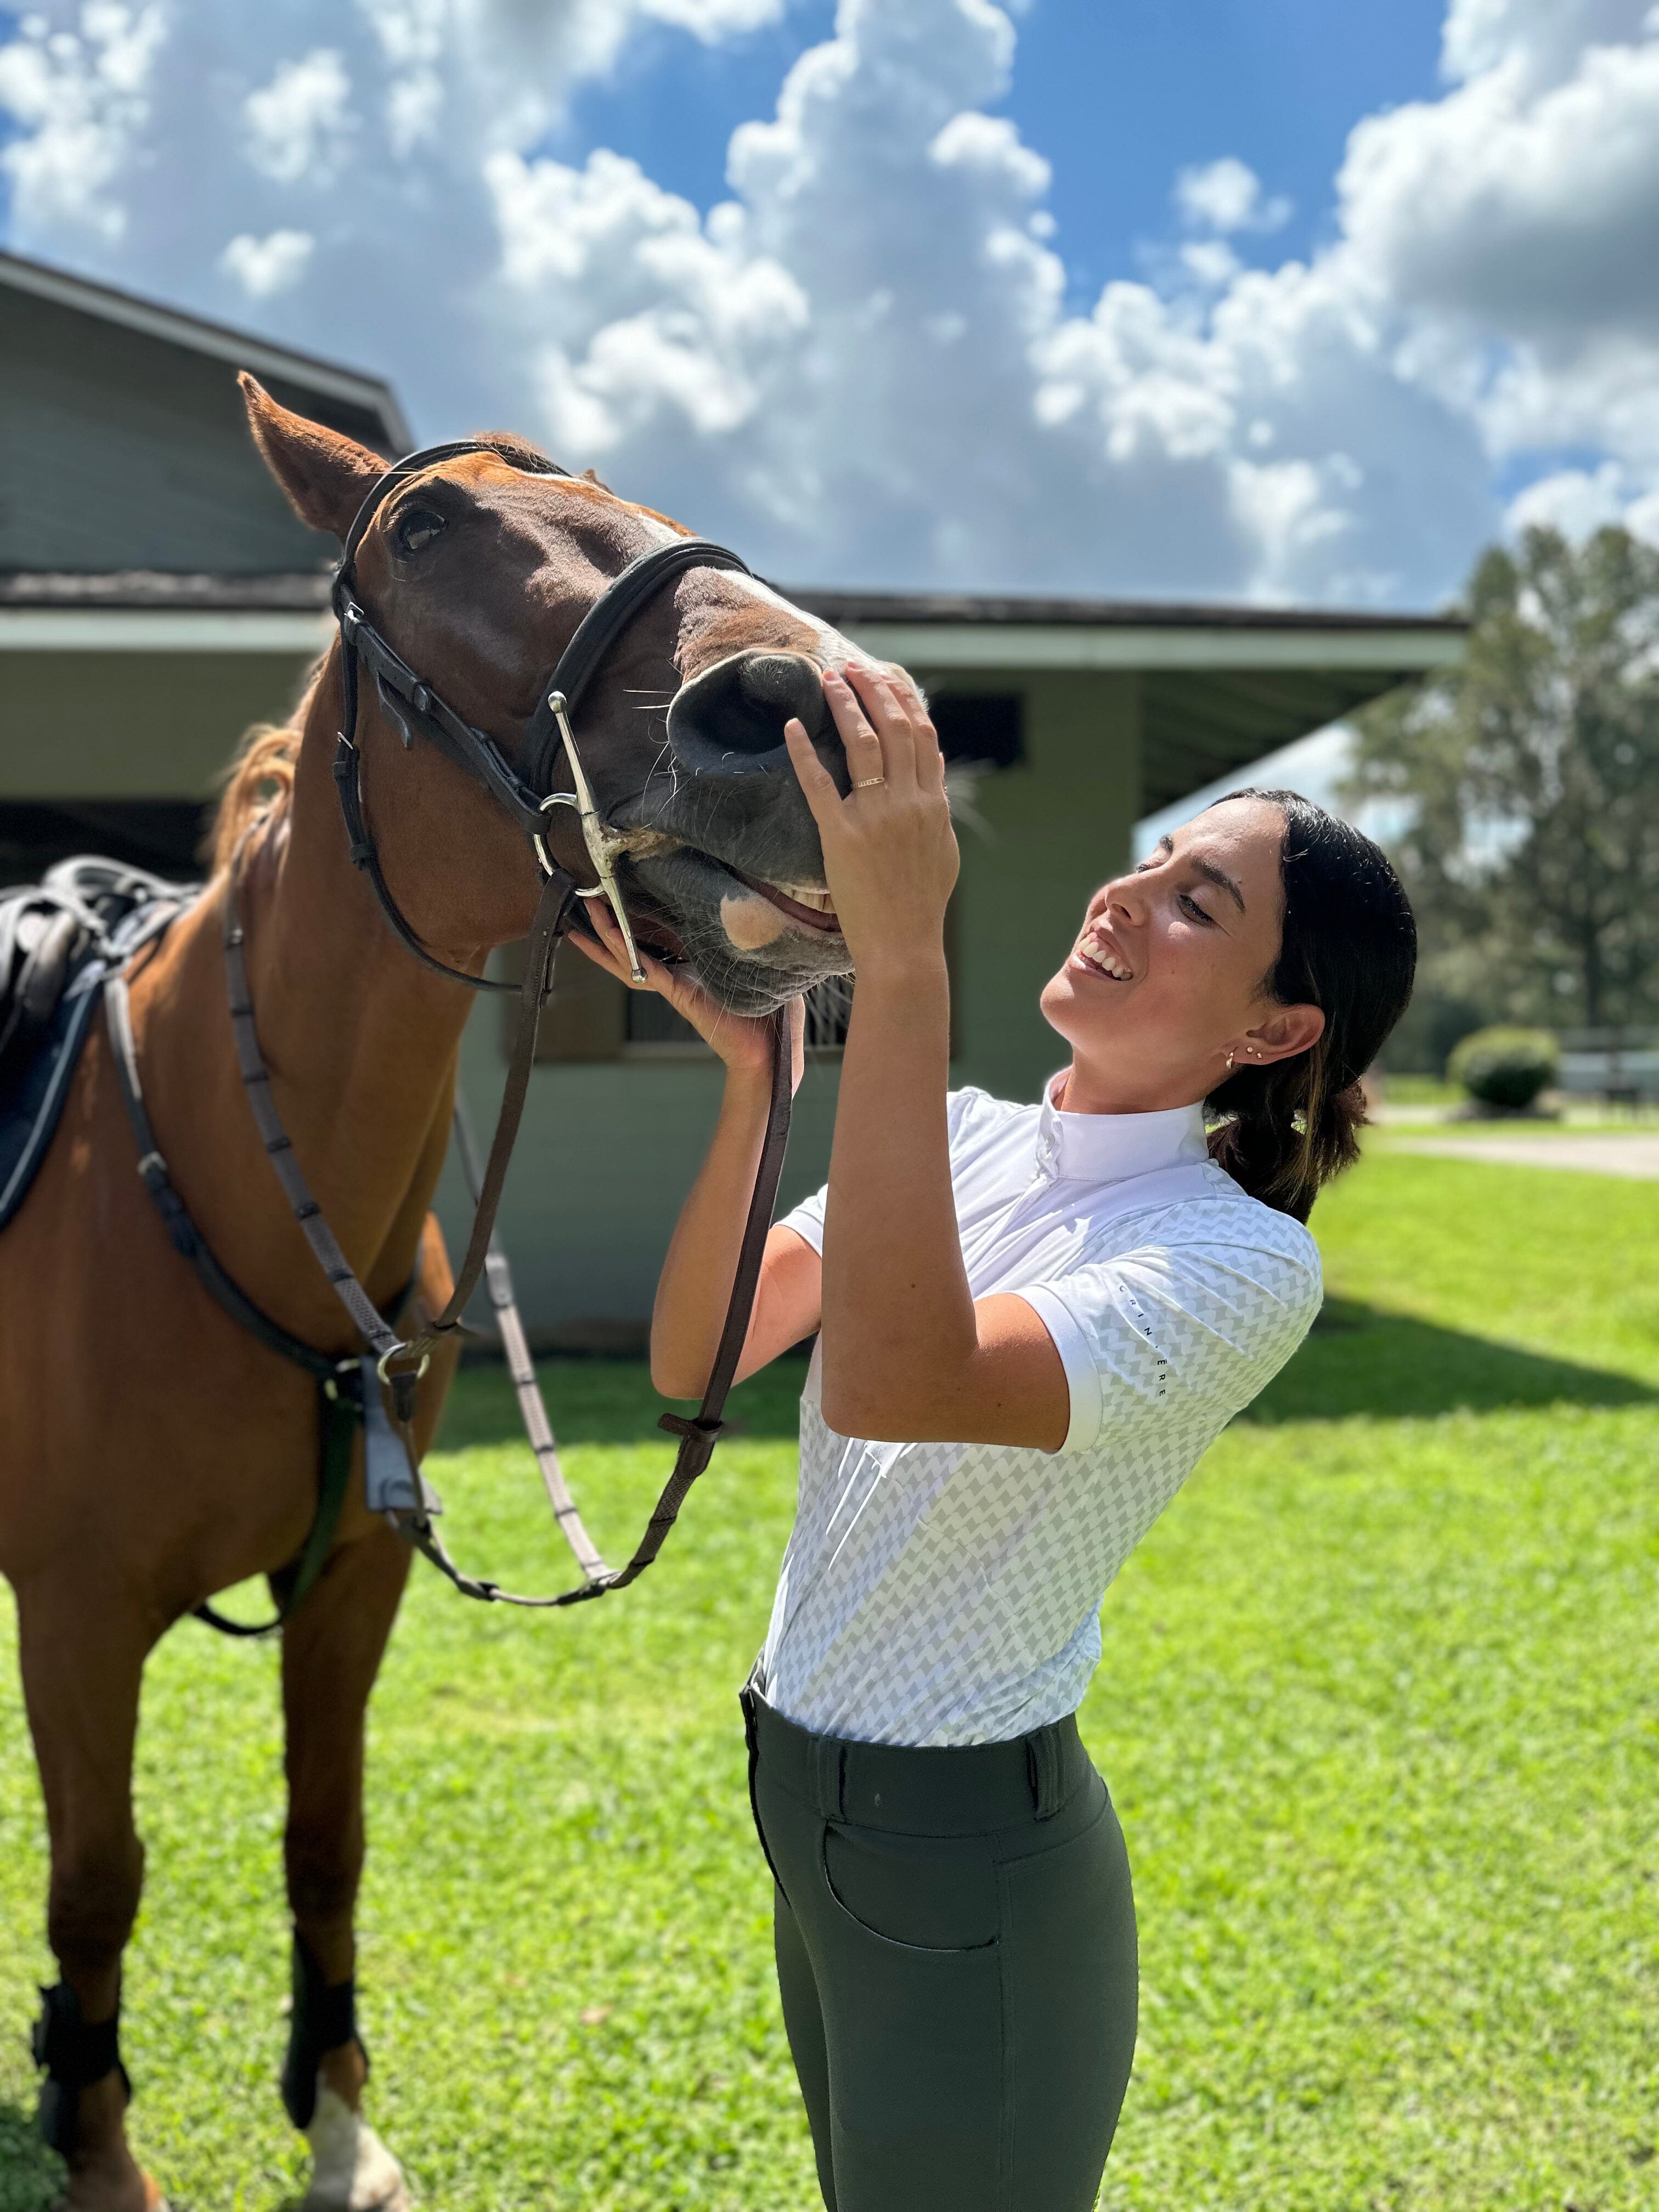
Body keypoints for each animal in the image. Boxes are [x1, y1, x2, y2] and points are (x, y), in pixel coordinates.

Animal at [0, 385, 876, 2212]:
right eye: (422, 529)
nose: (803, 706)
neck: (212, 1173)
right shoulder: (76, 1610)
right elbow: (98, 1876)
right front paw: (95, 2138)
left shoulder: (354, 1588)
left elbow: (326, 1841)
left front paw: (334, 2118)